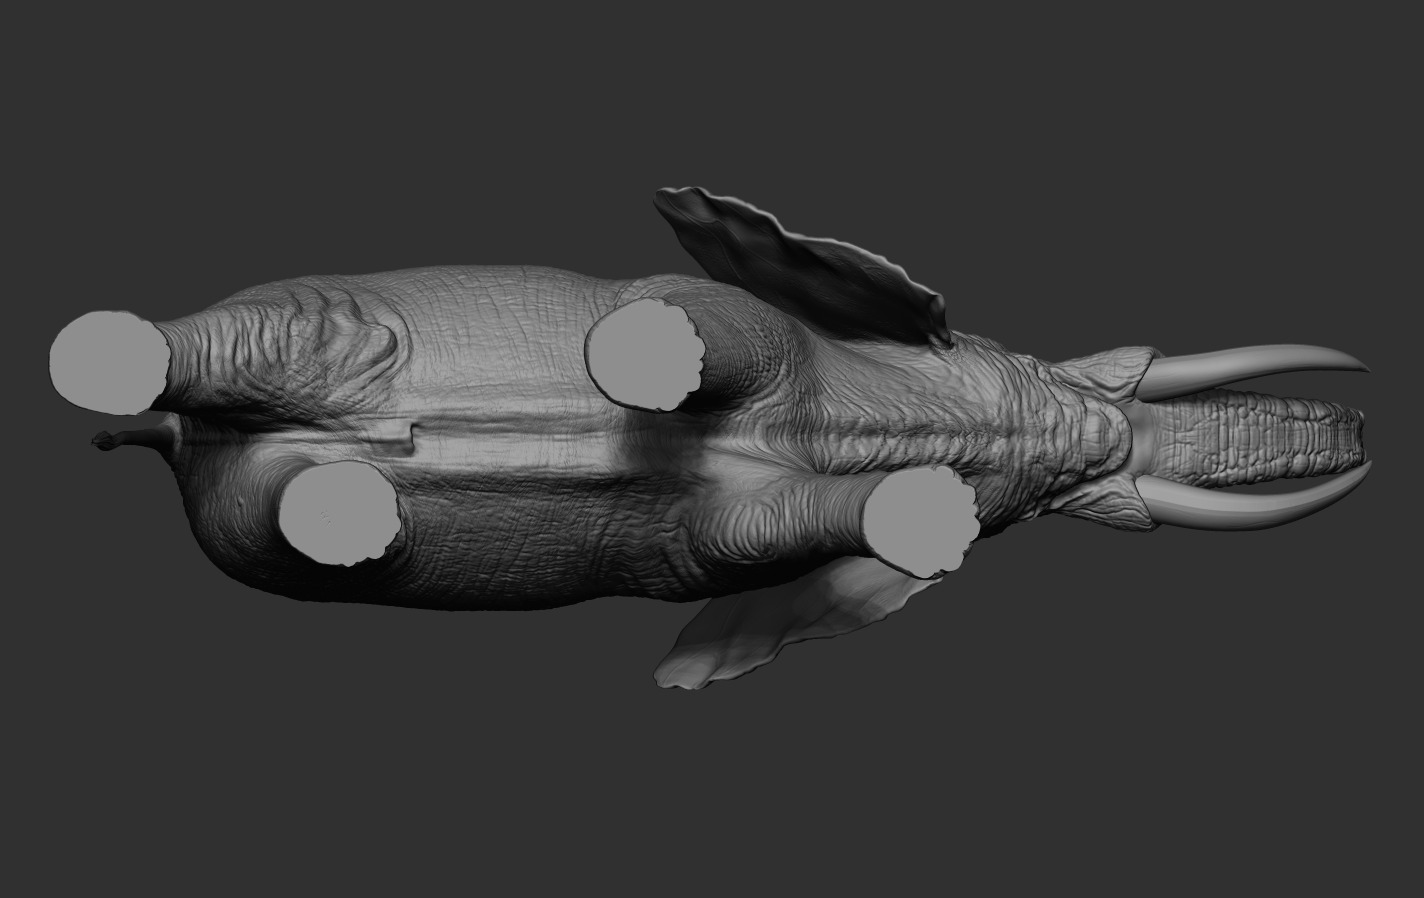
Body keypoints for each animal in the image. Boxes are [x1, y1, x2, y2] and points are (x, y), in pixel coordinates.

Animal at [48, 187, 1370, 689]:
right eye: (1096, 366)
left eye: (1082, 506)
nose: (1360, 424)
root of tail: (182, 440)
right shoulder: (793, 326)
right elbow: (717, 305)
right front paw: (695, 252)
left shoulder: (713, 541)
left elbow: (775, 536)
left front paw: (919, 511)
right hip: (336, 316)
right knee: (260, 340)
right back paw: (117, 361)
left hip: (241, 502)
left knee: (267, 503)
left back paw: (341, 508)